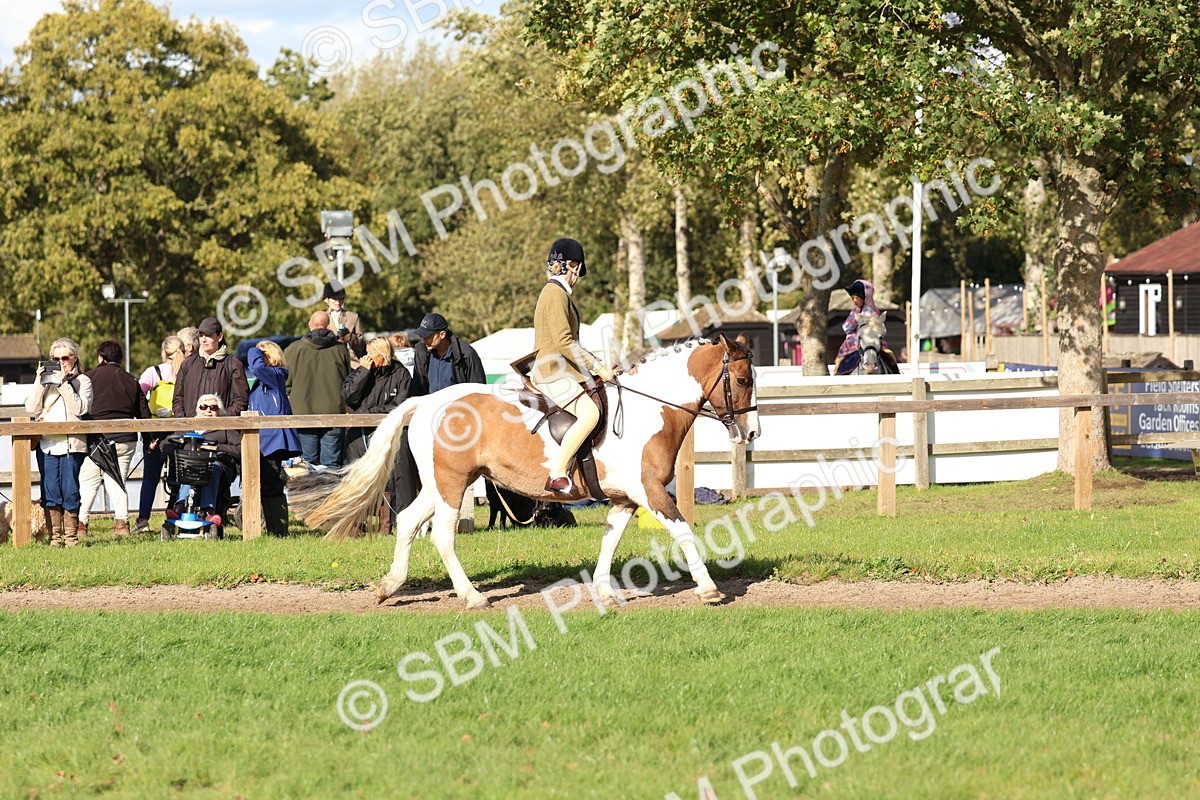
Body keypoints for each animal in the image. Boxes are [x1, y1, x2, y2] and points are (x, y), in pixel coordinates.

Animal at [290, 333, 760, 610]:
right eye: (741, 380)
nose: (752, 431)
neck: (650, 411)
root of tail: (426, 400)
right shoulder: (649, 492)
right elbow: (683, 531)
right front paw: (709, 588)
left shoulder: (625, 499)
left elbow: (609, 541)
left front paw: (606, 591)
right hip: (452, 484)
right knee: (442, 535)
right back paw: (473, 597)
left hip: (441, 484)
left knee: (406, 521)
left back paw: (390, 586)